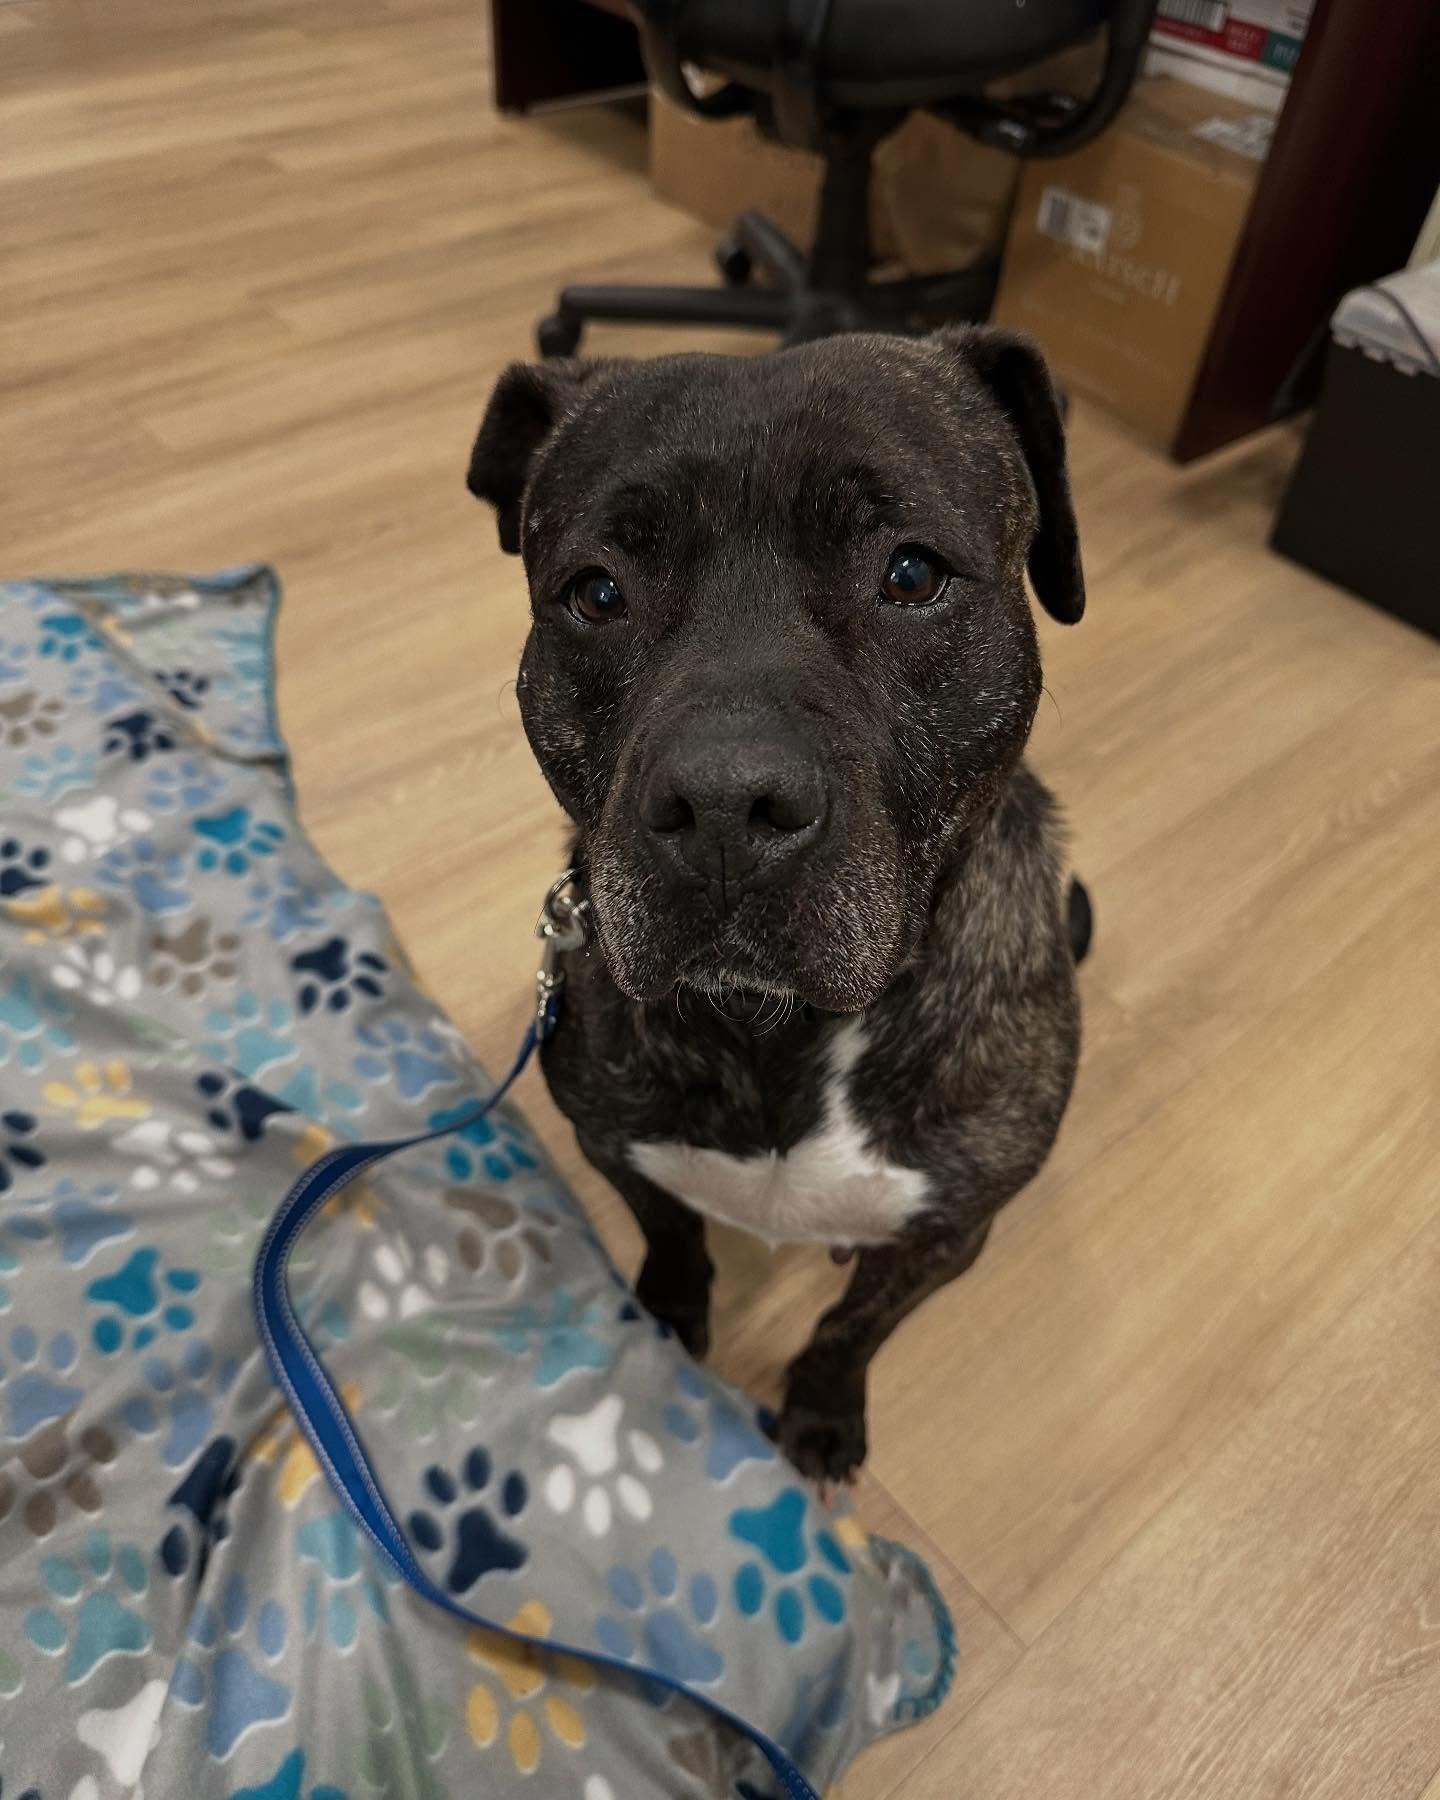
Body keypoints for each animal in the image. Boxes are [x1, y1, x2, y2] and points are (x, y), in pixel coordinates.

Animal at [471, 331, 1094, 1483]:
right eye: (596, 593)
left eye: (911, 573)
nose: (725, 802)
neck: (777, 1029)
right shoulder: (615, 1141)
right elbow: (673, 1236)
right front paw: (671, 1317)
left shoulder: (949, 1233)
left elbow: (853, 1328)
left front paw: (821, 1412)